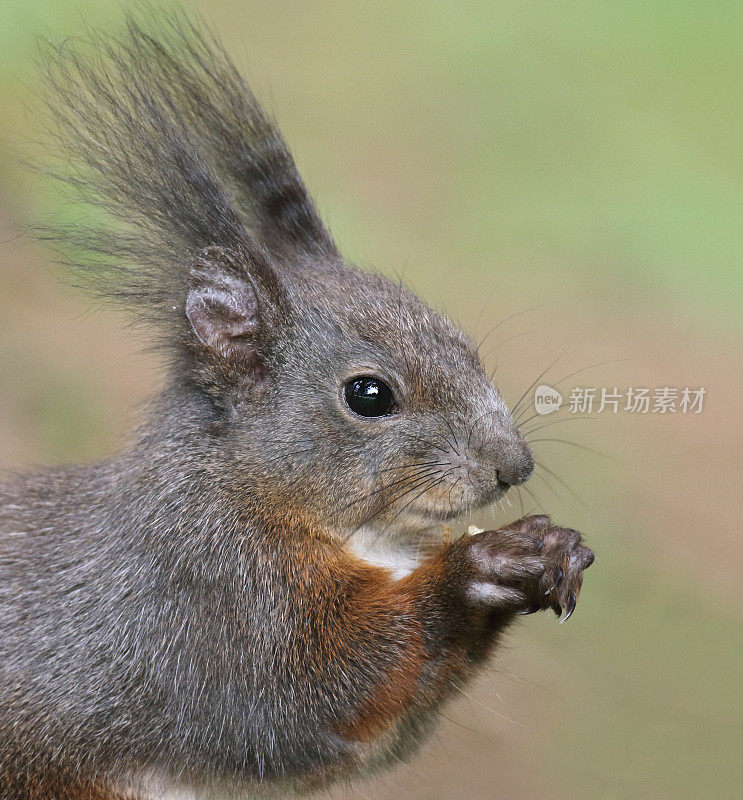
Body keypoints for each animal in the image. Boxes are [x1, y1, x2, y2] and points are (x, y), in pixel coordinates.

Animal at [0, 10, 592, 800]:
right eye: (368, 395)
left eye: (463, 343)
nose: (514, 467)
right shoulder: (195, 602)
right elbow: (302, 697)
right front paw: (477, 570)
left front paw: (553, 547)